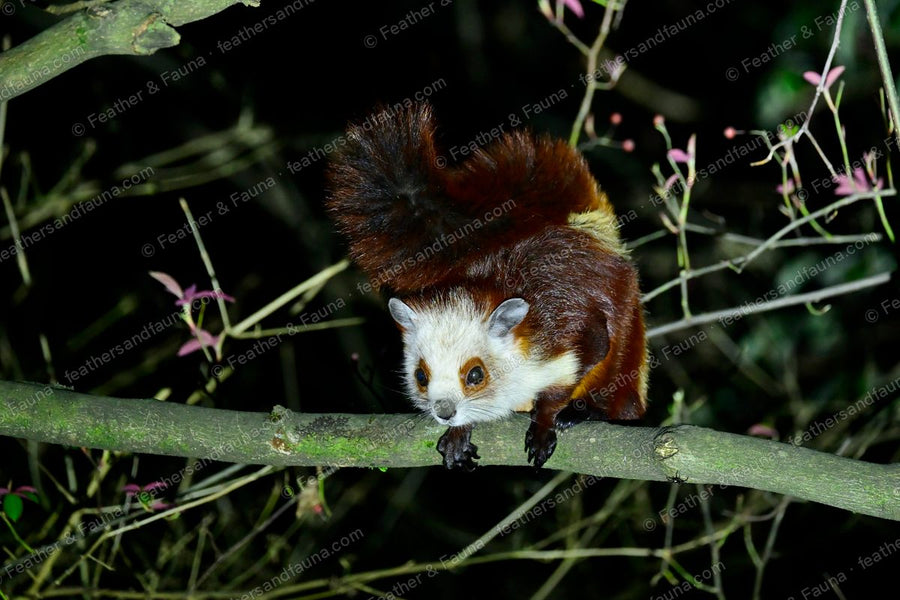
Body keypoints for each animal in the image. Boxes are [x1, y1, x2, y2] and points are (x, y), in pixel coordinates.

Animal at [326, 104, 648, 470]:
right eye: (421, 376)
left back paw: (590, 410)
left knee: (620, 368)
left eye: (475, 375)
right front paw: (458, 433)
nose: (444, 412)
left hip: (626, 322)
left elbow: (588, 356)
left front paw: (545, 422)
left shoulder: (567, 332)